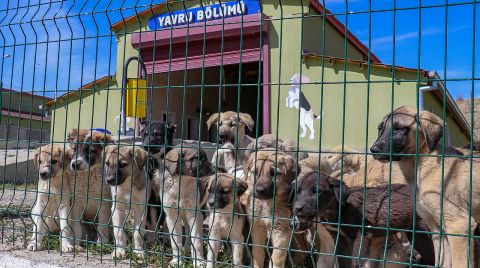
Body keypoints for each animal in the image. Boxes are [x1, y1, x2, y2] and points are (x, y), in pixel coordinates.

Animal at [292, 172, 436, 268]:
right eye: (298, 192)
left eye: (317, 191)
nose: (296, 208)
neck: (340, 208)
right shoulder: (341, 240)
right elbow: (343, 262)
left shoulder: (362, 236)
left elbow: (357, 261)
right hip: (418, 236)